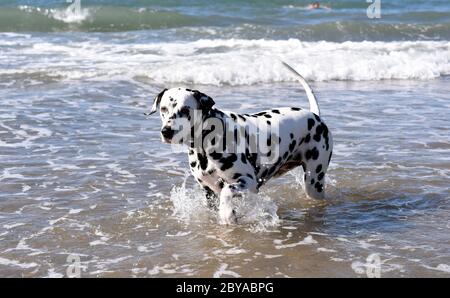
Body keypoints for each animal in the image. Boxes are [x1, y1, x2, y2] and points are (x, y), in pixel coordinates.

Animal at [148, 62, 330, 224]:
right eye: (163, 109)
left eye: (186, 109)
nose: (167, 131)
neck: (205, 145)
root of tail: (314, 115)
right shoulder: (208, 192)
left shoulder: (248, 182)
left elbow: (227, 191)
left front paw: (227, 214)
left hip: (314, 183)